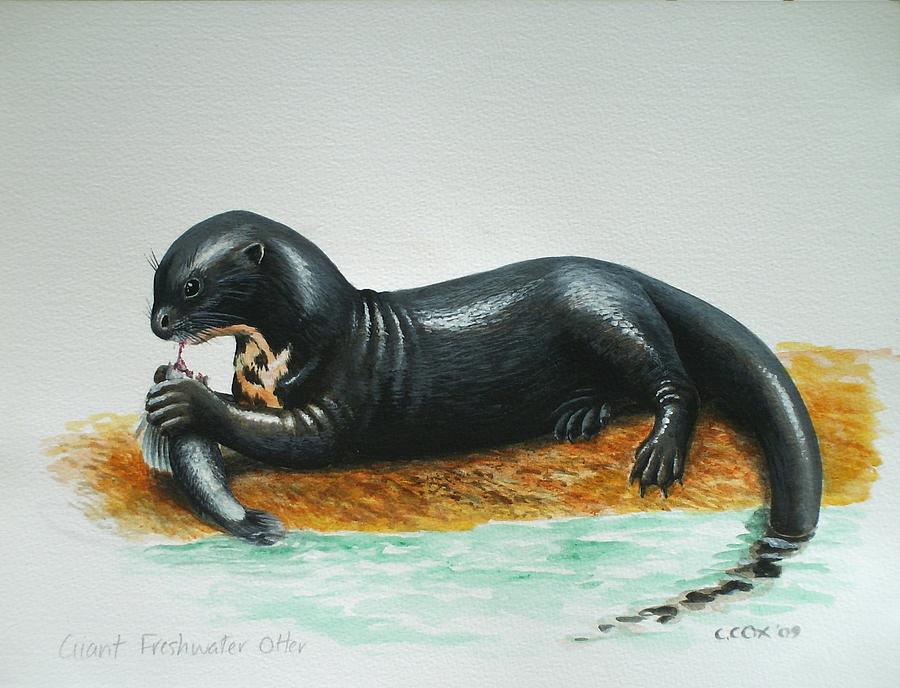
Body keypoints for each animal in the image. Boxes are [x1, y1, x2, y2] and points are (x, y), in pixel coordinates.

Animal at [144, 210, 822, 553]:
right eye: (156, 282)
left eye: (191, 287)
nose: (157, 321)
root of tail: (625, 273)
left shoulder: (338, 395)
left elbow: (296, 437)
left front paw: (184, 398)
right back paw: (581, 414)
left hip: (606, 314)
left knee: (675, 382)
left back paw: (657, 451)